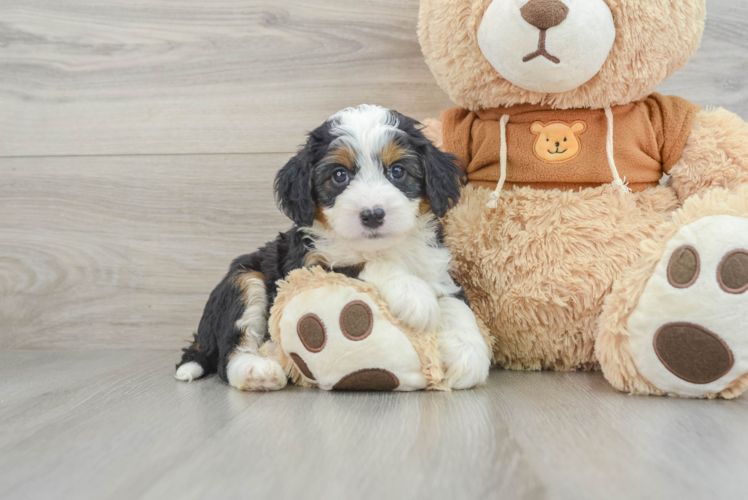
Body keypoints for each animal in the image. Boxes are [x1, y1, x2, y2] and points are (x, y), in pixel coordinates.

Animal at [175, 105, 490, 392]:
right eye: (340, 175)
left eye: (398, 171)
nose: (372, 214)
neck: (382, 247)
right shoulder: (309, 266)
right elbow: (361, 265)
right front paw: (412, 293)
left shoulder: (436, 266)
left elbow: (456, 304)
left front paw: (469, 355)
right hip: (244, 279)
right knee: (229, 355)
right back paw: (259, 371)